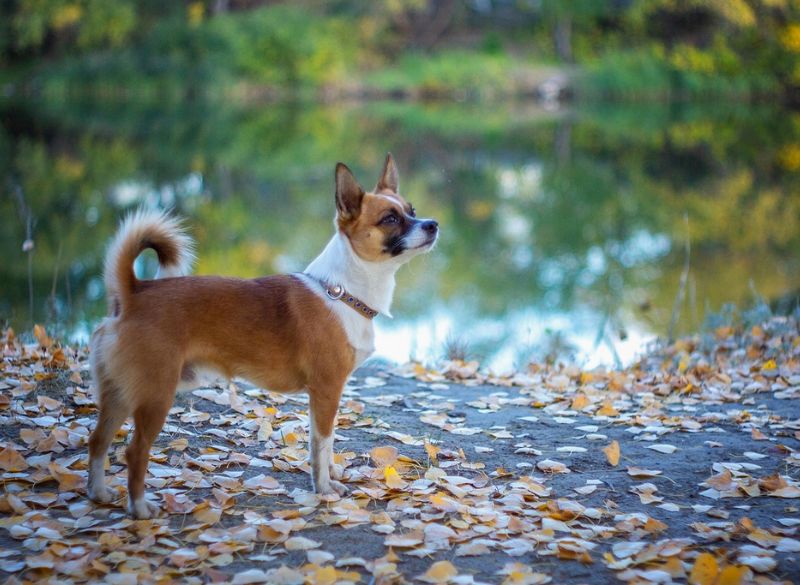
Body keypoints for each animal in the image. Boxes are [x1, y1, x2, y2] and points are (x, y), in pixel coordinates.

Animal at [86, 154, 438, 516]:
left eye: (411, 209)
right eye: (390, 218)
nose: (432, 224)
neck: (342, 291)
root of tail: (134, 294)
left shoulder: (326, 397)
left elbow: (323, 444)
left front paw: (331, 473)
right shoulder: (326, 391)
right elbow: (322, 443)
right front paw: (324, 488)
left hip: (119, 394)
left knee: (97, 441)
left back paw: (98, 492)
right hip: (155, 396)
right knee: (134, 452)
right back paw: (140, 509)